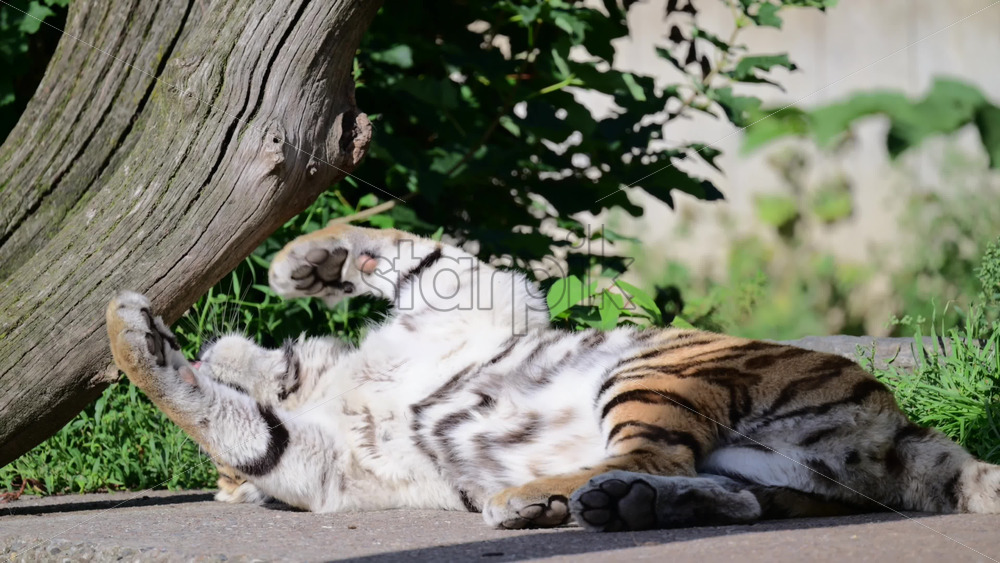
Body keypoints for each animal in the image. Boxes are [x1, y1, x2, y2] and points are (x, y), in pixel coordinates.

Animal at [106, 223, 1000, 531]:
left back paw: (538, 499)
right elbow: (227, 422)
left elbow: (411, 248)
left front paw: (306, 261)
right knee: (720, 488)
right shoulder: (321, 458)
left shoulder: (474, 297)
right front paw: (134, 332)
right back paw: (590, 503)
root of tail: (897, 430)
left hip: (654, 365)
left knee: (656, 454)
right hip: (750, 458)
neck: (325, 380)